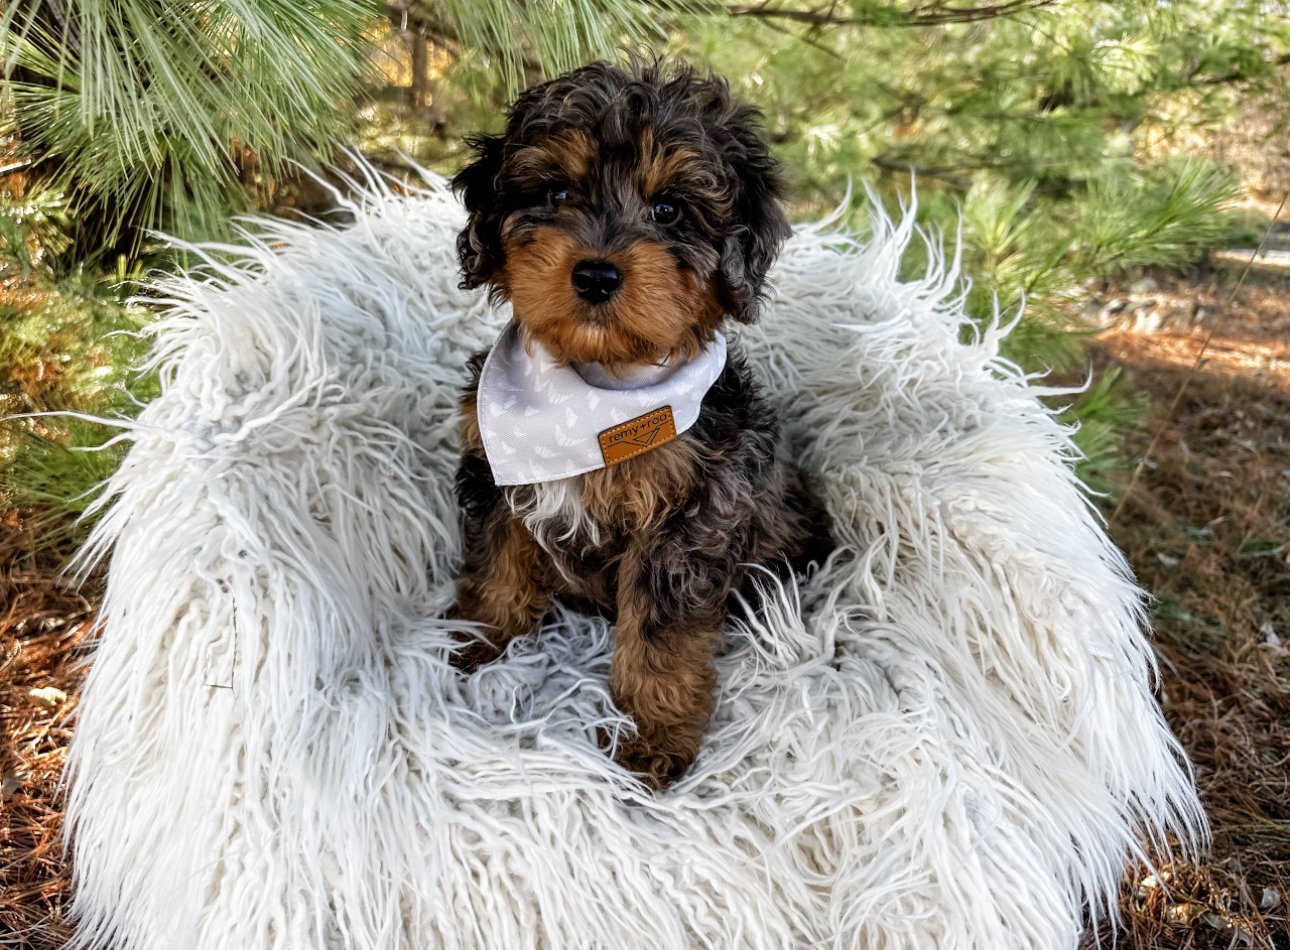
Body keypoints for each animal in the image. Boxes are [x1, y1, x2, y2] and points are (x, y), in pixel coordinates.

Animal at [448, 59, 830, 784]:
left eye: (669, 209)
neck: (592, 393)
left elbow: (661, 637)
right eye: (558, 191)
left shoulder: (687, 524)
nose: (596, 275)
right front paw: (474, 645)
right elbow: (498, 565)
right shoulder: (495, 471)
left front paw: (652, 737)